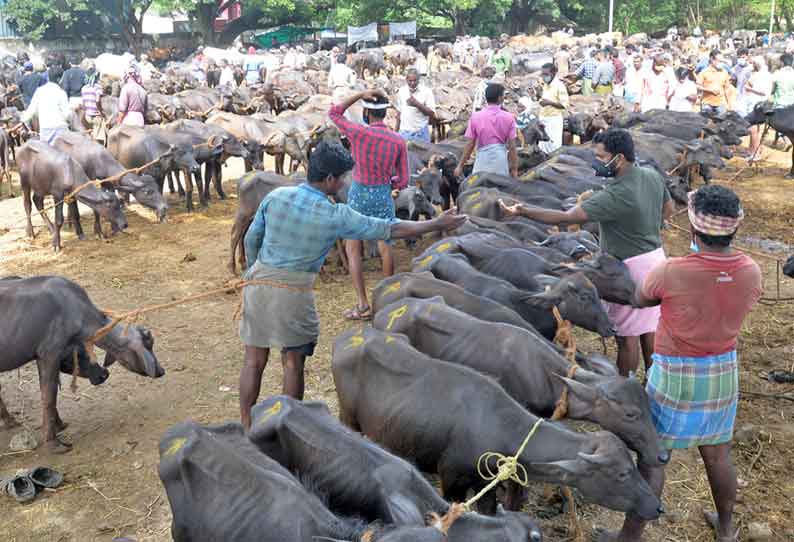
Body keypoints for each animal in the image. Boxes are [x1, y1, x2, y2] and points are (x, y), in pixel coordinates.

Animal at [0, 276, 162, 454]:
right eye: (148, 345)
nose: (160, 370)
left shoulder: (41, 357)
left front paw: (59, 424)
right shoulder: (49, 354)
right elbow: (49, 397)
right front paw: (52, 441)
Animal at [332, 326, 664, 520]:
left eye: (632, 467)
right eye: (621, 474)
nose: (657, 506)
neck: (497, 426)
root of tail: (347, 338)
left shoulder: (486, 485)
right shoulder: (452, 483)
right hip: (347, 417)